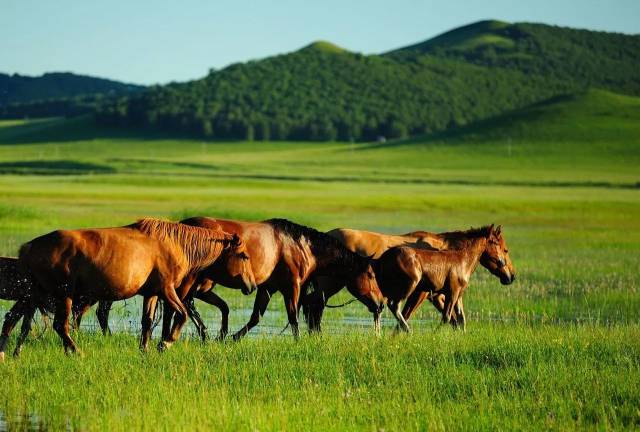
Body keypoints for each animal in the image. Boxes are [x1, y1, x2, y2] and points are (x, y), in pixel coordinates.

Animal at [16, 218, 255, 352]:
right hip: (65, 294)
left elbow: (147, 323)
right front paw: (165, 343)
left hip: (36, 295)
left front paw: (145, 349)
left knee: (25, 324)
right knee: (60, 325)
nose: (251, 285)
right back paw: (75, 350)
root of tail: (29, 246)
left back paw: (17, 352)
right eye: (243, 256)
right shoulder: (167, 289)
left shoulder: (151, 293)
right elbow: (183, 315)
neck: (176, 244)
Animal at [376, 224, 516, 332]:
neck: (463, 259)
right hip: (409, 286)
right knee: (394, 305)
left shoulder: (458, 294)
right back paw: (408, 330)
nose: (511, 276)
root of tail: (385, 257)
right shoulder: (452, 292)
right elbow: (447, 317)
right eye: (505, 249)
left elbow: (461, 319)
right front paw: (434, 334)